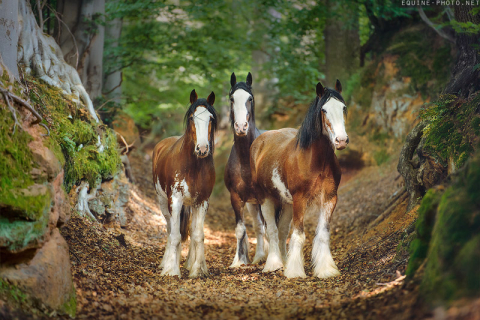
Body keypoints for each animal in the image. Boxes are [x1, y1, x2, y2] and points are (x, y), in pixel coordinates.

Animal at [152, 88, 218, 278]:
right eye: (191, 118)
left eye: (211, 118)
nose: (202, 149)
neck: (193, 166)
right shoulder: (175, 200)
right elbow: (174, 235)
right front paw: (171, 270)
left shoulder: (202, 201)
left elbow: (198, 234)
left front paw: (198, 269)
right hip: (163, 201)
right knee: (170, 229)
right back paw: (166, 262)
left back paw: (188, 263)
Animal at [249, 80, 346, 278]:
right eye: (324, 110)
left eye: (343, 108)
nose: (341, 140)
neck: (315, 160)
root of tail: (261, 140)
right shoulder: (300, 199)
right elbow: (299, 234)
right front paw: (295, 272)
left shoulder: (330, 198)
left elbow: (323, 233)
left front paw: (326, 269)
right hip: (266, 199)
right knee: (272, 230)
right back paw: (273, 264)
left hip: (286, 203)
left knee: (281, 231)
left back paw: (284, 262)